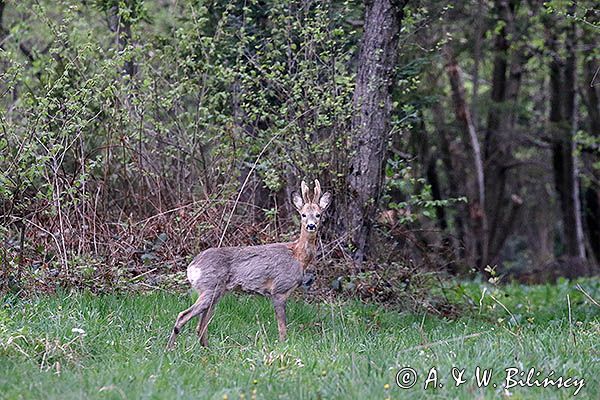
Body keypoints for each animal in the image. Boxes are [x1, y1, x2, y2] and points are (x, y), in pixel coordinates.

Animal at [166, 180, 330, 348]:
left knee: (201, 325)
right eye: (303, 215)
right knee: (183, 316)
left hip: (215, 292)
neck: (297, 256)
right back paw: (170, 348)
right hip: (210, 288)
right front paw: (283, 345)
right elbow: (282, 326)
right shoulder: (279, 289)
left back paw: (206, 348)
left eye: (318, 214)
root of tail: (192, 267)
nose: (311, 226)